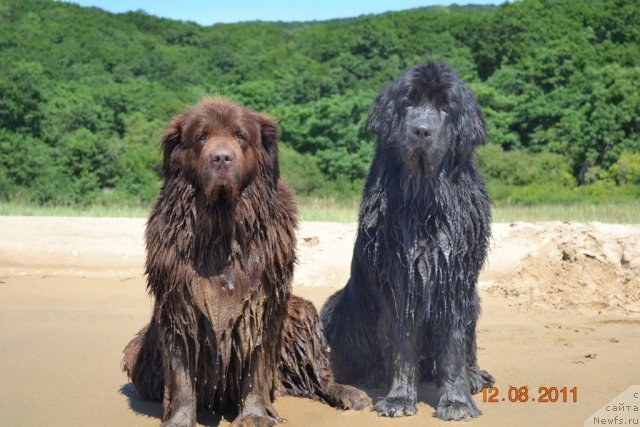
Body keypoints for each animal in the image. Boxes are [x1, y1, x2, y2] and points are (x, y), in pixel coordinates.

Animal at [122, 98, 370, 427]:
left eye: (240, 136)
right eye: (201, 136)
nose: (221, 158)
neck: (221, 229)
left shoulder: (261, 301)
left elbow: (256, 362)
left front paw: (255, 415)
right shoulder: (178, 303)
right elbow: (180, 371)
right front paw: (179, 419)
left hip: (301, 311)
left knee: (318, 375)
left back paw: (350, 394)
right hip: (134, 352)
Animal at [320, 63, 496, 422]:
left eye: (446, 107)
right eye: (408, 102)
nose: (421, 131)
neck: (424, 201)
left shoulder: (454, 281)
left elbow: (454, 349)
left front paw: (456, 402)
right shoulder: (400, 280)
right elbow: (402, 345)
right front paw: (399, 398)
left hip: (474, 301)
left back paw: (475, 376)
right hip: (334, 306)